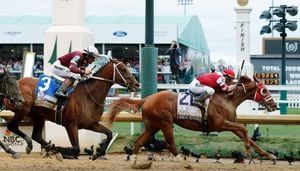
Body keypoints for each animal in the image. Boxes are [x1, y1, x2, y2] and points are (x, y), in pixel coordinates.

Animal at [4, 57, 139, 159]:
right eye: (123, 69)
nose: (136, 84)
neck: (88, 95)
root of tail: (17, 82)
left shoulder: (90, 124)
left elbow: (109, 134)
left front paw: (99, 152)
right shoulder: (71, 125)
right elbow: (76, 149)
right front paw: (61, 150)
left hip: (38, 116)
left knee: (36, 135)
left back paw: (44, 146)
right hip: (23, 109)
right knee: (13, 127)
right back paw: (31, 145)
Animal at [105, 74, 276, 160]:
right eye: (265, 90)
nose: (274, 105)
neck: (227, 99)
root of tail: (147, 98)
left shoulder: (230, 124)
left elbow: (248, 136)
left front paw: (268, 154)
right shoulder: (220, 124)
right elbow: (244, 130)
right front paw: (247, 151)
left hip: (153, 126)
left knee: (139, 142)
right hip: (165, 123)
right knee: (170, 143)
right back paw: (183, 160)